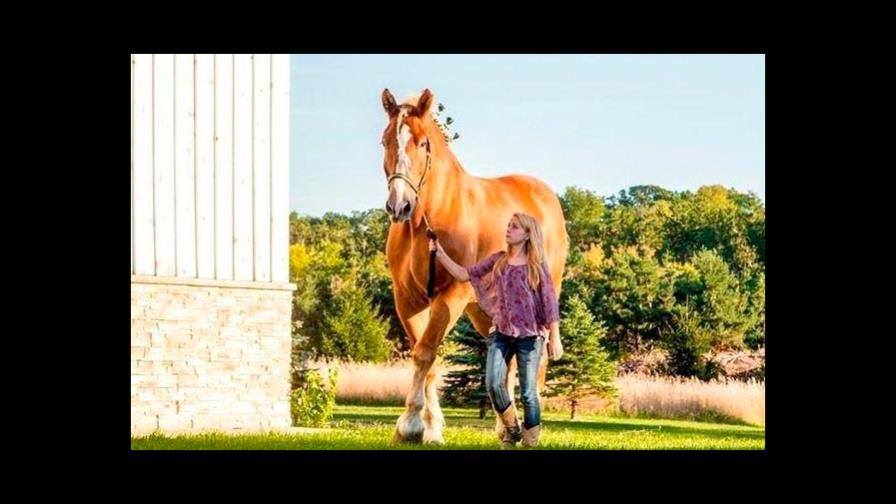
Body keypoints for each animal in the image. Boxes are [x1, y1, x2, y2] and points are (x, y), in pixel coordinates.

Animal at [380, 88, 569, 443]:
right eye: (385, 141)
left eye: (422, 143)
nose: (399, 205)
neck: (428, 220)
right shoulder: (407, 300)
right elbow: (426, 357)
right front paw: (429, 427)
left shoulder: (451, 295)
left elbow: (425, 352)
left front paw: (411, 424)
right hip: (486, 311)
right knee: (508, 360)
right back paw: (505, 426)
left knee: (535, 360)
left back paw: (530, 427)